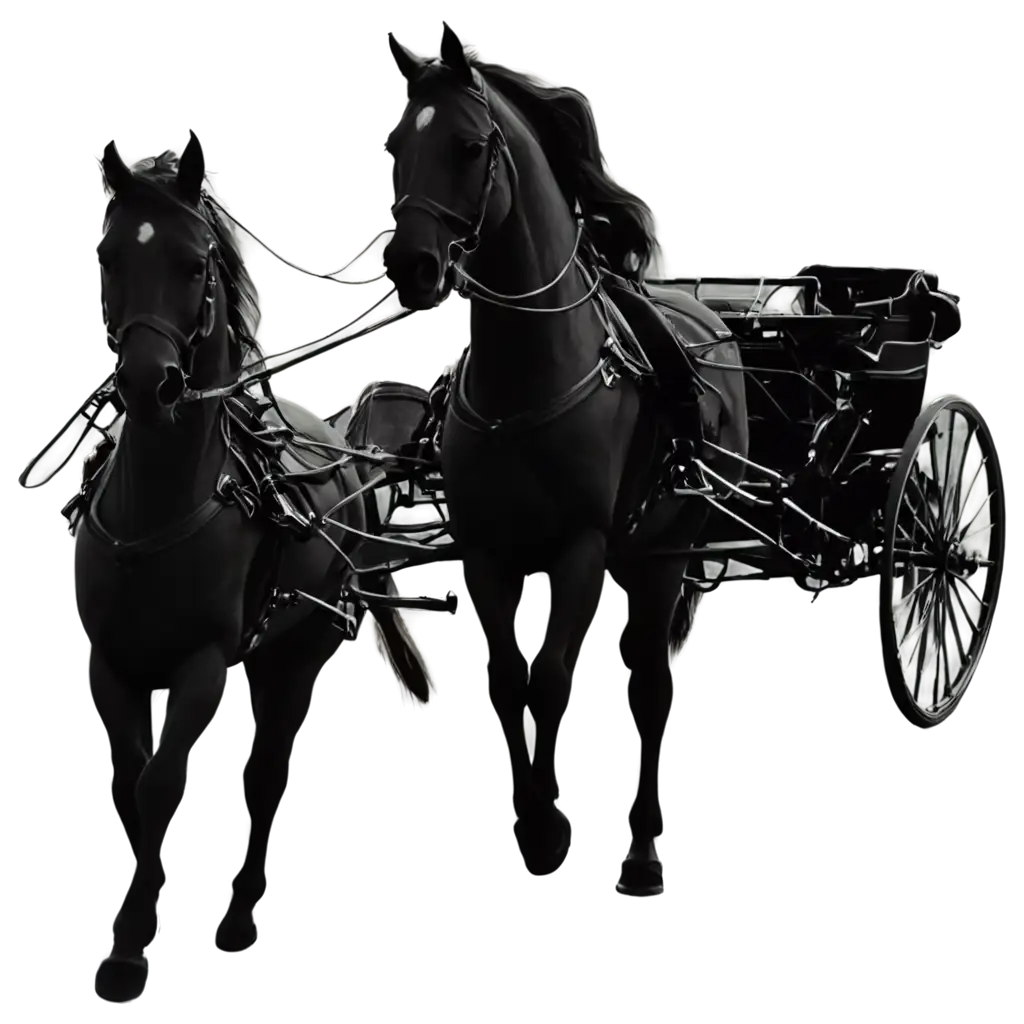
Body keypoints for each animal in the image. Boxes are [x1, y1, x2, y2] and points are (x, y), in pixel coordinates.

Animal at [75, 135, 432, 1002]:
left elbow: (163, 783)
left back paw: (240, 919)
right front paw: (140, 907)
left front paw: (130, 946)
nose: (147, 383)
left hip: (298, 652)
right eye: (109, 257)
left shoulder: (209, 662)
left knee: (267, 775)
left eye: (194, 261)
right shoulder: (108, 660)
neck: (160, 508)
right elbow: (128, 780)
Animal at [380, 29, 748, 893]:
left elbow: (549, 683)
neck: (530, 376)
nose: (409, 264)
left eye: (468, 146)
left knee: (652, 681)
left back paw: (643, 848)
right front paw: (532, 824)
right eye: (398, 149)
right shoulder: (488, 551)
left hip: (664, 550)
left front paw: (551, 831)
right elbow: (506, 681)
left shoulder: (582, 545)